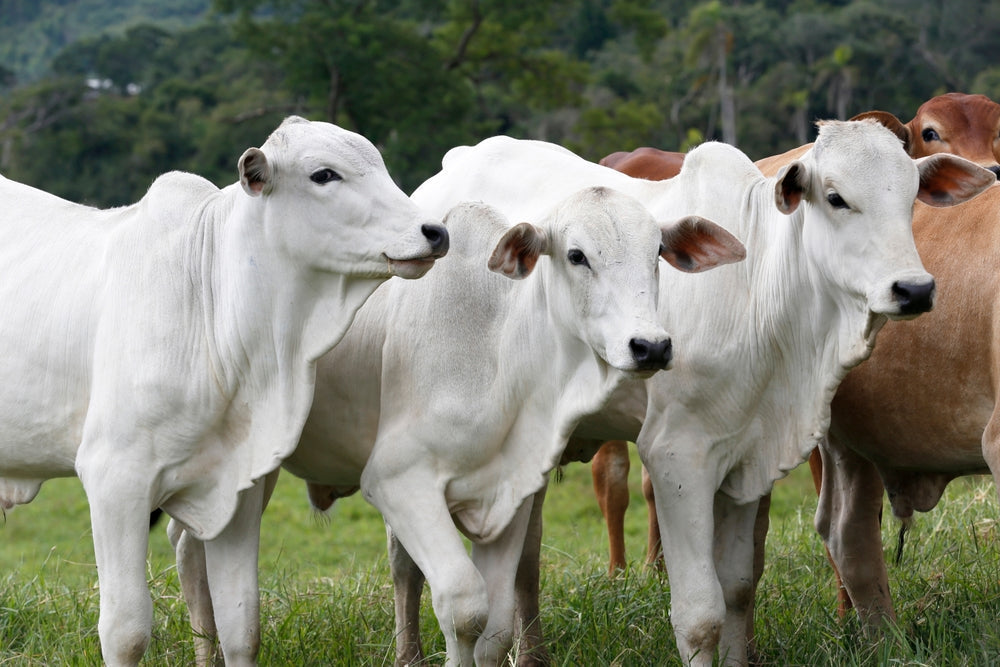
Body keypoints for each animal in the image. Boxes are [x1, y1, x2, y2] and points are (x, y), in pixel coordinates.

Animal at [0, 116, 448, 666]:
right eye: (324, 174)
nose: (434, 232)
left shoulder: (241, 488)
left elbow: (241, 624)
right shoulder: (114, 479)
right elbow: (126, 630)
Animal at [171, 187, 747, 665]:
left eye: (657, 252)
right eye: (576, 255)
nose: (651, 346)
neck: (498, 346)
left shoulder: (512, 491)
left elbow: (494, 625)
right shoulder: (399, 481)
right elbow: (463, 605)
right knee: (189, 551)